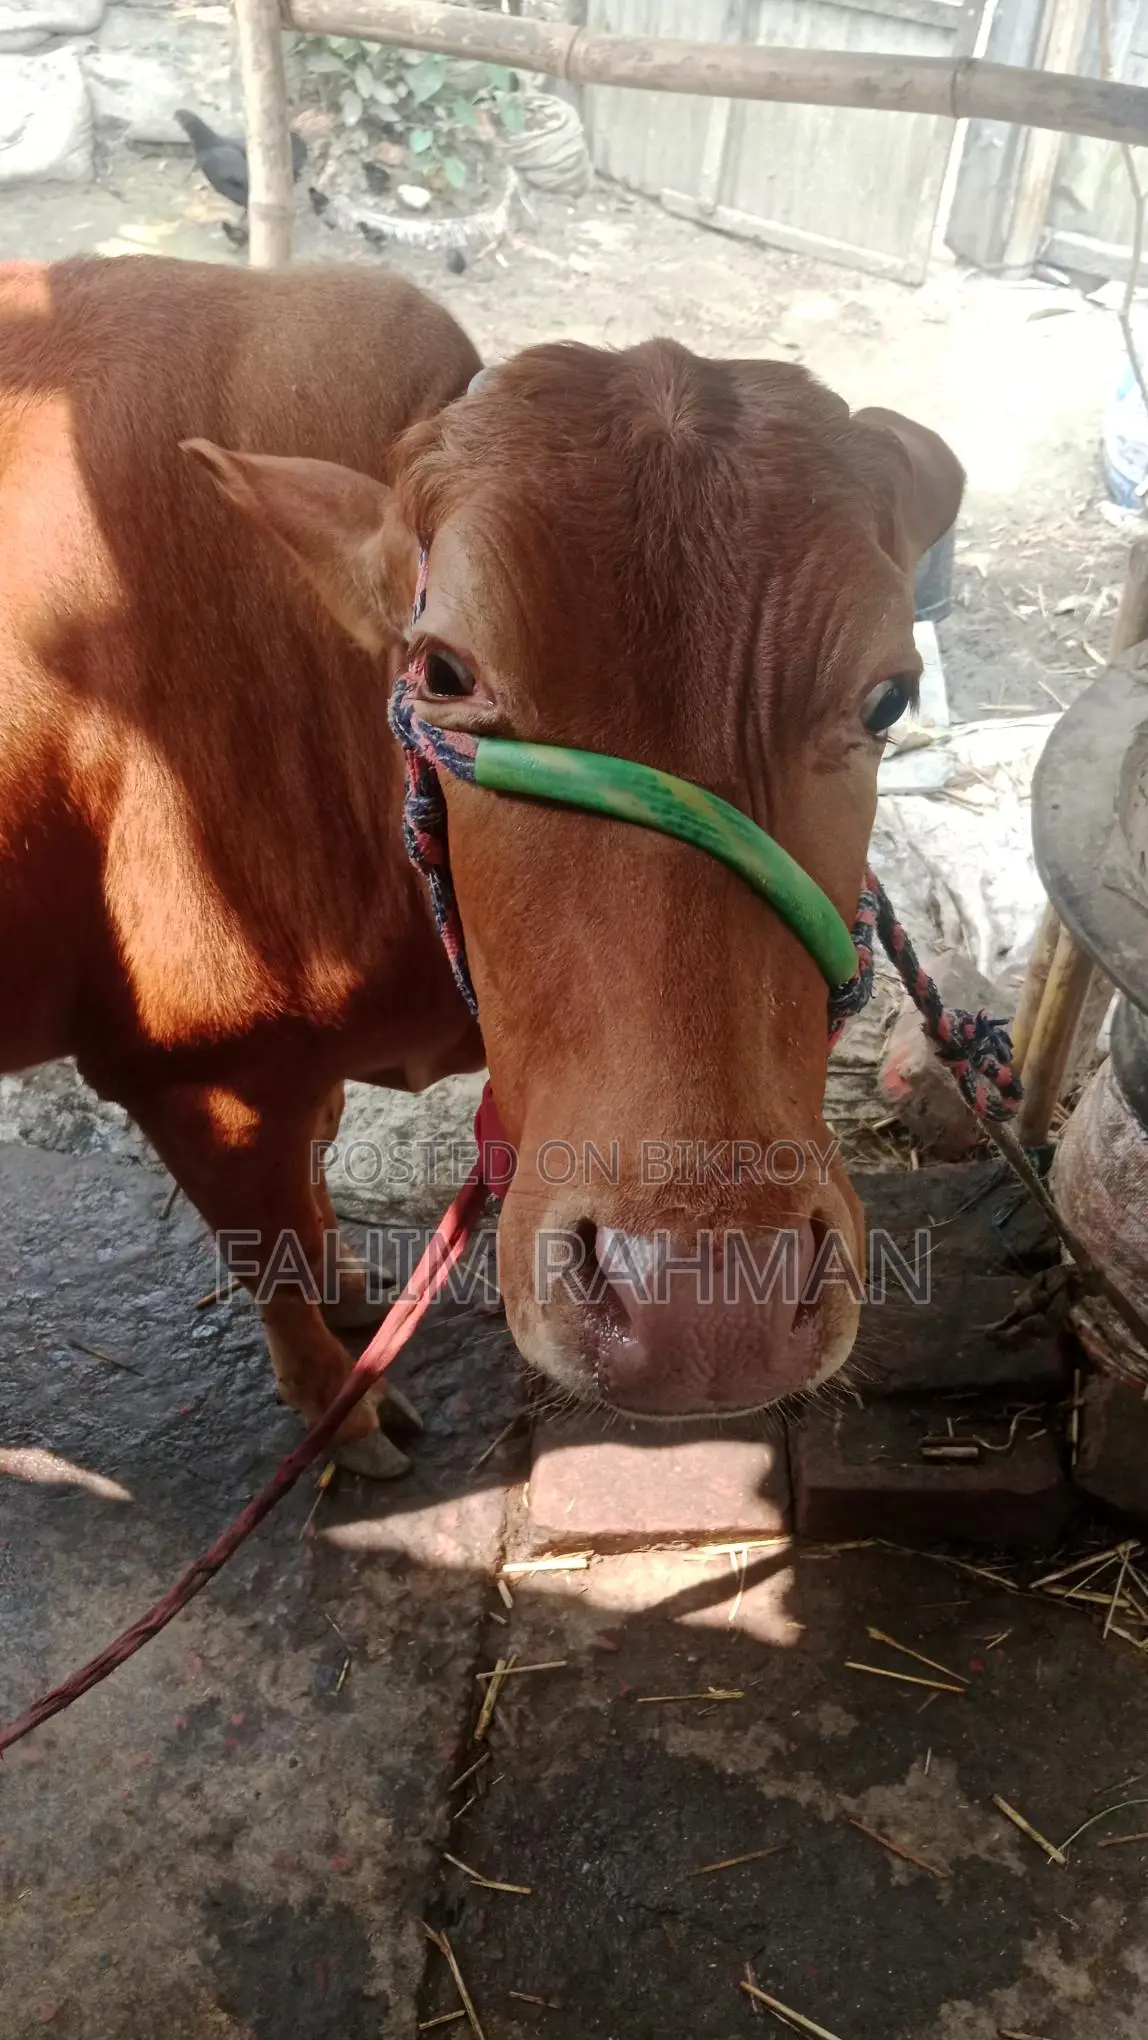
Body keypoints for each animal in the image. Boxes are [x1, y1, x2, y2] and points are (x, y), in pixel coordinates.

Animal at [0, 254, 963, 1473]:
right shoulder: (186, 1074)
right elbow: (262, 1243)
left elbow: (305, 1187)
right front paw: (337, 1401)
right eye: (444, 671)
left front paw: (347, 1293)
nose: (707, 1305)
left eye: (888, 699)